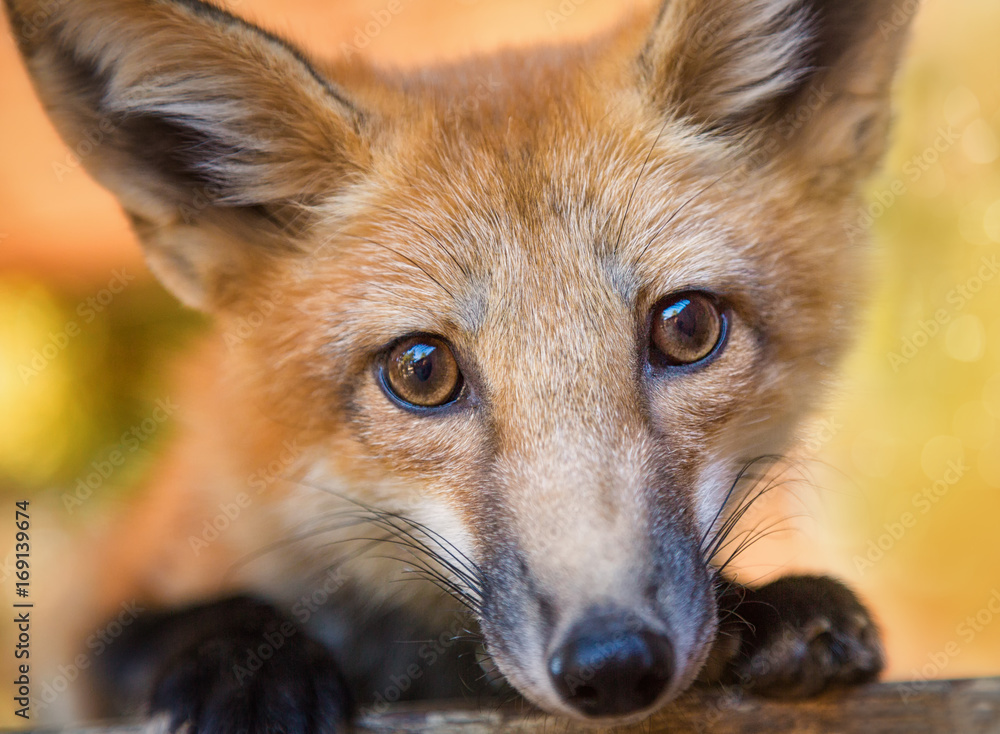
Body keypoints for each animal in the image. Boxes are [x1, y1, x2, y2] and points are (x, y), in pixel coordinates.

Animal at [7, 0, 916, 730]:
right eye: (421, 371)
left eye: (688, 327)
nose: (615, 663)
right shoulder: (98, 585)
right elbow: (142, 634)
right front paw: (243, 666)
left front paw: (765, 606)